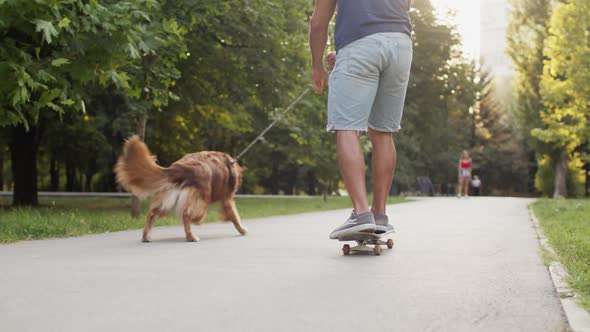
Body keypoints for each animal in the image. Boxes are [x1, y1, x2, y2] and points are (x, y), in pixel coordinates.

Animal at [114, 135, 246, 241]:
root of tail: (179, 168)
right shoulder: (227, 198)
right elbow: (235, 216)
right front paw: (242, 230)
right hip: (201, 201)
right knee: (187, 215)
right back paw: (191, 236)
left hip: (167, 200)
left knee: (152, 214)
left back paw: (146, 237)